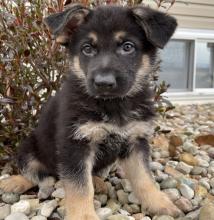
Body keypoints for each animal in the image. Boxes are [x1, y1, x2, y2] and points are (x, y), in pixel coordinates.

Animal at [0, 3, 181, 220]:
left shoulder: (136, 141)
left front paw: (160, 203)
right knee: (38, 173)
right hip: (29, 147)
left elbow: (144, 178)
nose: (104, 83)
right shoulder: (75, 144)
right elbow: (80, 187)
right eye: (87, 49)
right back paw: (14, 182)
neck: (112, 105)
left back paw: (99, 182)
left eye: (127, 47)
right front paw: (84, 215)